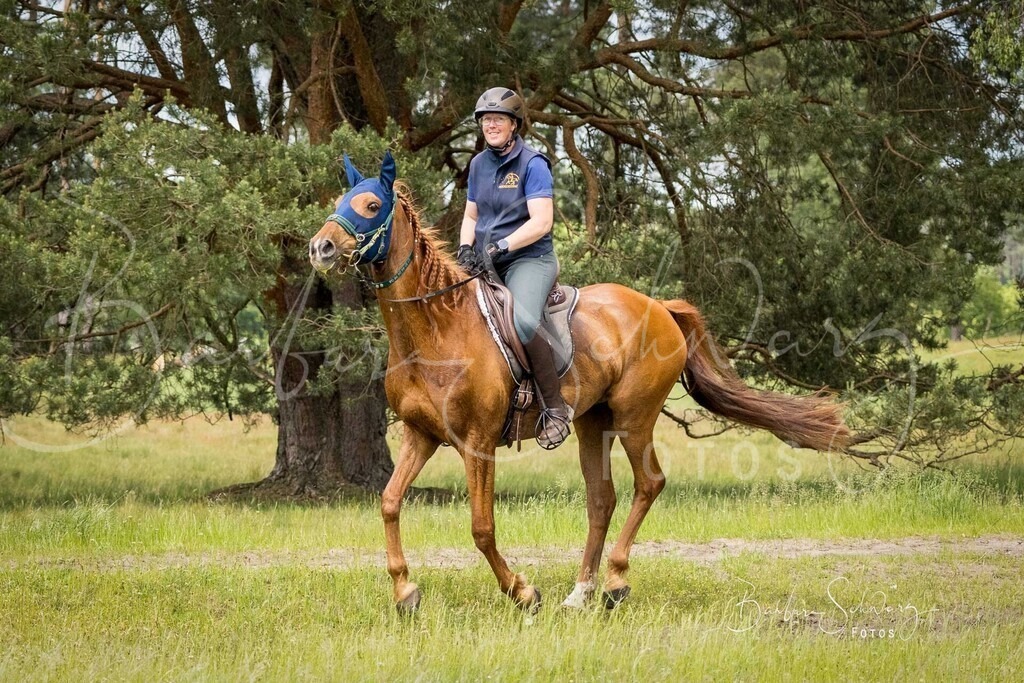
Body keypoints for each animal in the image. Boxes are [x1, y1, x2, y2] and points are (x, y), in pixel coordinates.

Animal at [309, 151, 851, 613]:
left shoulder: (477, 443)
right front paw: (405, 592)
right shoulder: (420, 435)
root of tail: (660, 307)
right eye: (339, 201)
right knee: (601, 499)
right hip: (594, 421)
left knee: (648, 484)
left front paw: (523, 592)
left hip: (635, 418)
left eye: (371, 205)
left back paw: (614, 582)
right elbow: (389, 502)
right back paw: (581, 591)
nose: (321, 247)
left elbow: (481, 527)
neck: (436, 328)